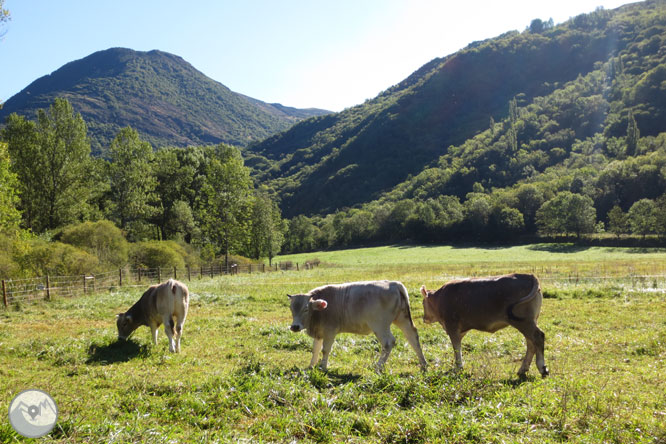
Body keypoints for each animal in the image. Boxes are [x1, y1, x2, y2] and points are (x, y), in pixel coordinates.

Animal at [286, 280, 426, 372]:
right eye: (291, 309)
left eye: (306, 309)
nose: (295, 327)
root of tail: (394, 284)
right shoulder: (319, 333)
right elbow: (315, 349)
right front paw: (311, 366)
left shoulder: (329, 332)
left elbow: (325, 350)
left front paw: (323, 367)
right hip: (402, 319)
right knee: (412, 337)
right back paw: (423, 364)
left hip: (380, 326)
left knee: (388, 343)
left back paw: (378, 367)